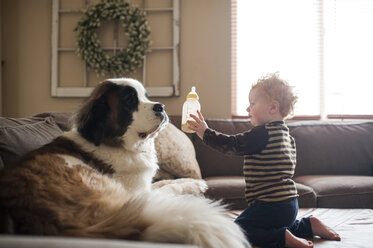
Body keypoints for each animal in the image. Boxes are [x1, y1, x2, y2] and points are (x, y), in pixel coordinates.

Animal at [0, 78, 251, 248]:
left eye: (146, 95)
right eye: (130, 100)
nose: (160, 106)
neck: (116, 143)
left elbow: (163, 183)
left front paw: (189, 182)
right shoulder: (136, 191)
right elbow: (166, 187)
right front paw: (194, 184)